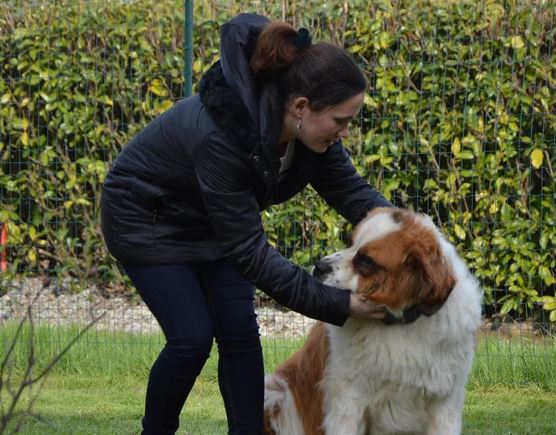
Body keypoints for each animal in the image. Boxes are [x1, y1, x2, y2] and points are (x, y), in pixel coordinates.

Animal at [262, 208, 480, 435]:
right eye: (350, 242)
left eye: (366, 261)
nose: (320, 267)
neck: (400, 323)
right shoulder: (347, 402)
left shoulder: (445, 403)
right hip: (274, 392)